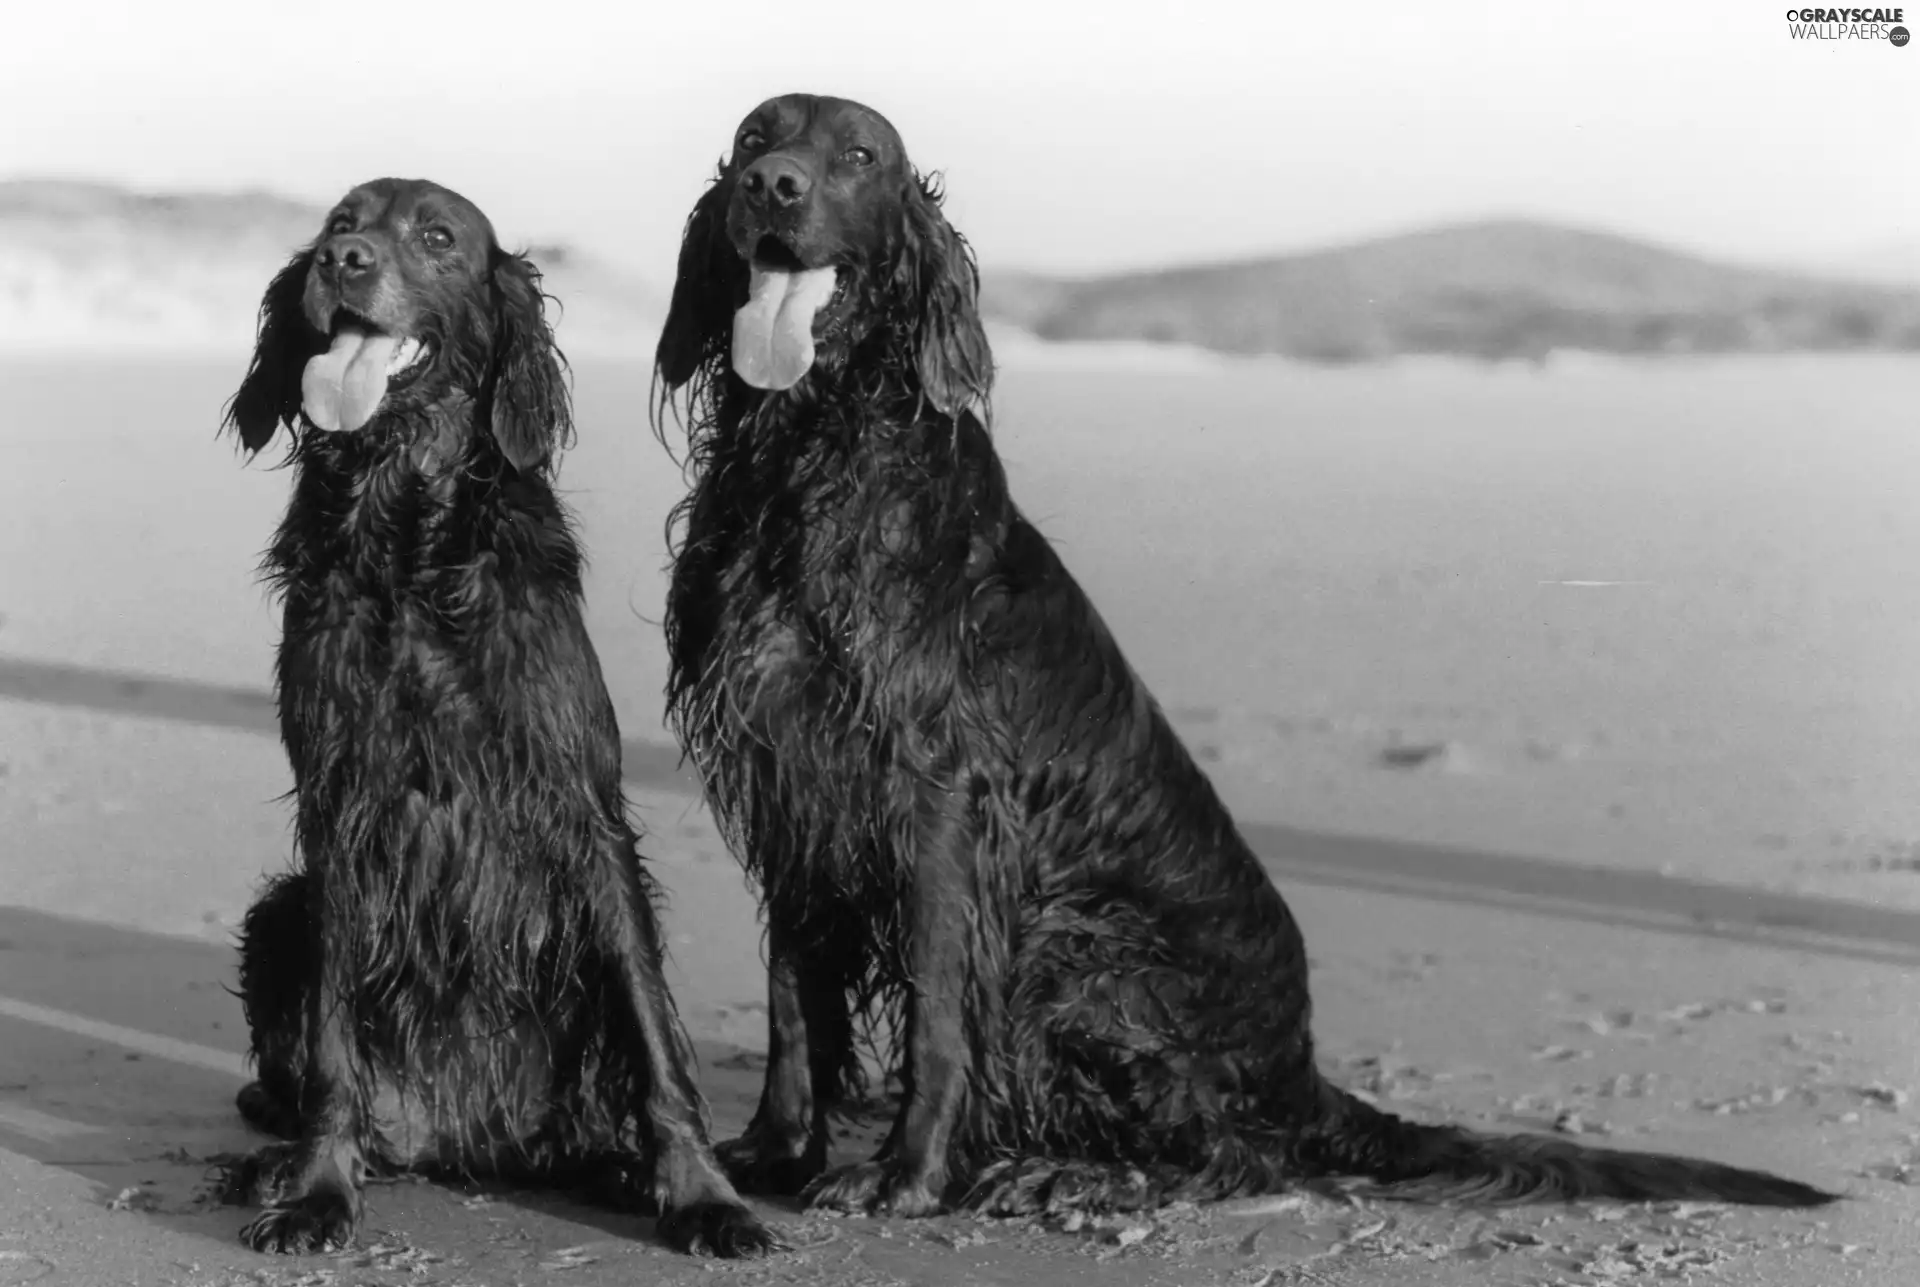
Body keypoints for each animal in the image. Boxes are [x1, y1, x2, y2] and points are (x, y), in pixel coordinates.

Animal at [652, 96, 1835, 1221]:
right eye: (755, 136)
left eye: (859, 156)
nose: (772, 186)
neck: (809, 455)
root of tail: (1301, 1066)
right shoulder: (791, 777)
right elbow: (792, 999)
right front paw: (771, 1151)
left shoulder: (934, 798)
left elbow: (942, 1013)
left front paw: (906, 1174)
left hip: (1079, 942)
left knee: (1235, 1153)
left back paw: (1071, 1179)